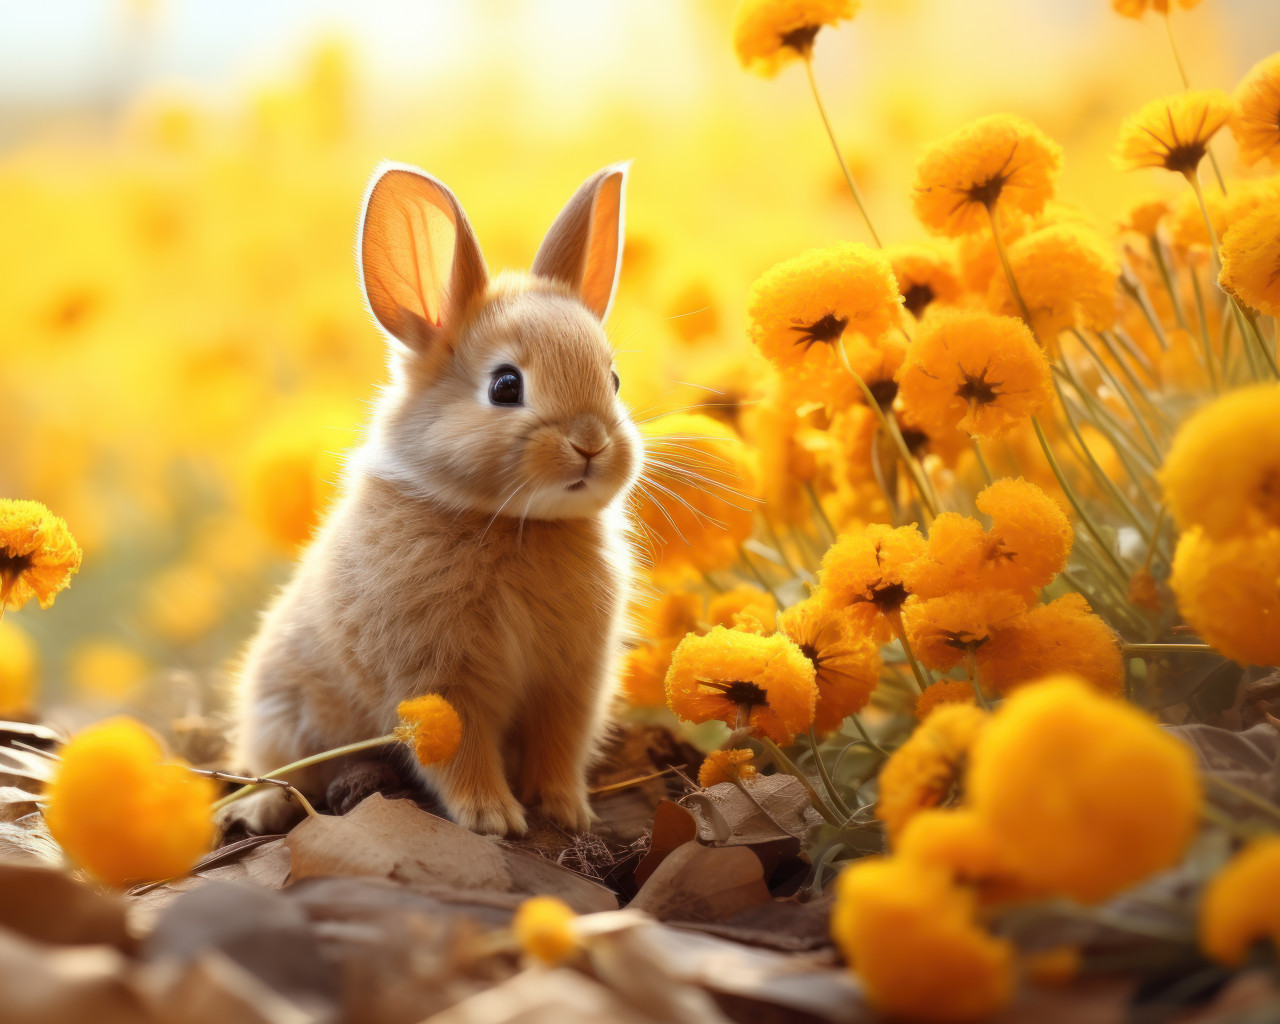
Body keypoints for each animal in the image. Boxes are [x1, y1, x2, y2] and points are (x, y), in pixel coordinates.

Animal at [228, 160, 641, 837]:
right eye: (506, 386)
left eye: (612, 380)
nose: (591, 444)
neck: (511, 522)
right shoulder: (438, 679)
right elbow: (460, 751)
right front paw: (493, 819)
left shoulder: (569, 680)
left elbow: (559, 744)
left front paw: (567, 811)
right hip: (279, 715)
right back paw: (264, 807)